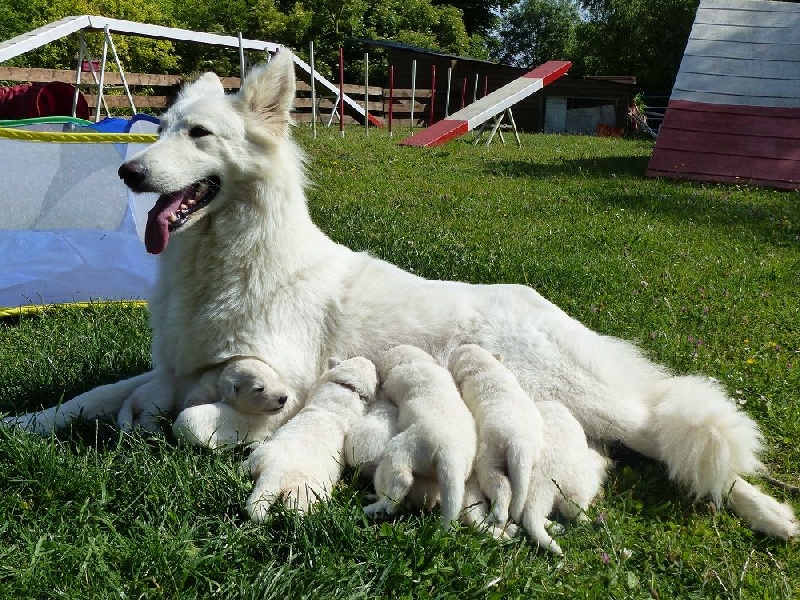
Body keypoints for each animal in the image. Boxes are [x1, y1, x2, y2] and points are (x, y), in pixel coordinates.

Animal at [244, 356, 378, 520]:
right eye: (374, 369)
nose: (369, 359)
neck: (347, 386)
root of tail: (274, 471)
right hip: (304, 491)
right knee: (295, 509)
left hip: (256, 458)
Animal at [366, 344, 478, 528]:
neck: (413, 360)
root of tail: (449, 451)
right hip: (443, 473)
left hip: (406, 447)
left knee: (401, 479)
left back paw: (377, 506)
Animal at [450, 344, 544, 528]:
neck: (484, 367)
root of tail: (520, 443)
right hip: (531, 458)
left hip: (490, 457)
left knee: (501, 485)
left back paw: (497, 516)